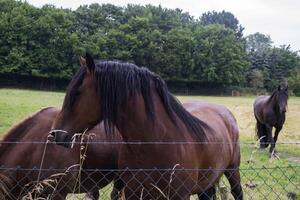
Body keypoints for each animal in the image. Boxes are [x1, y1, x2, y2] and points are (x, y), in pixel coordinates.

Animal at [49, 53, 244, 200]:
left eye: (77, 92)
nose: (55, 134)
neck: (157, 141)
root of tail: (225, 112)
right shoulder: (133, 193)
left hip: (233, 171)